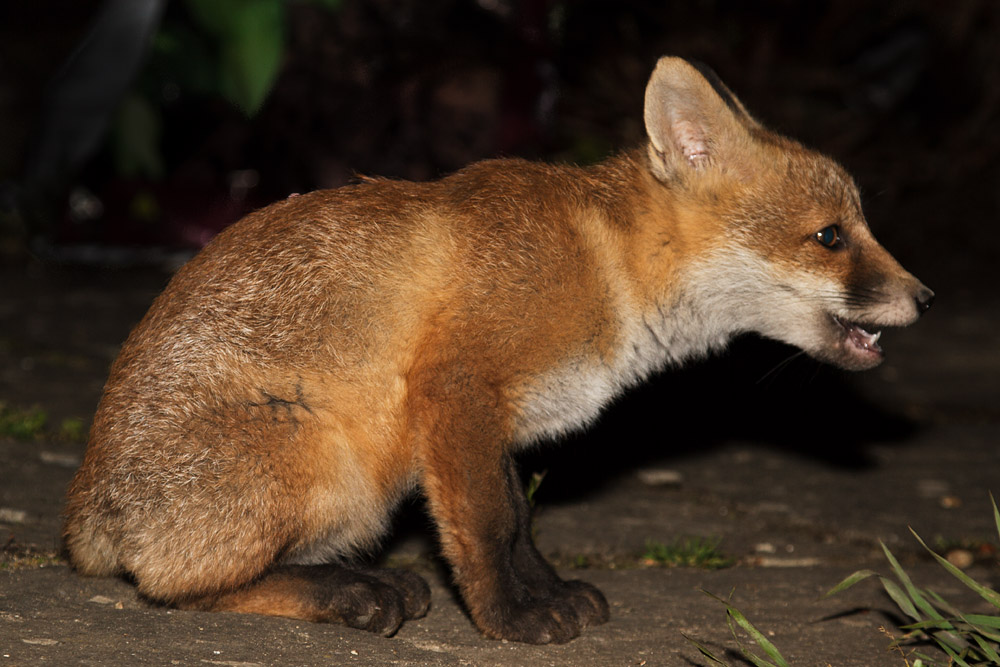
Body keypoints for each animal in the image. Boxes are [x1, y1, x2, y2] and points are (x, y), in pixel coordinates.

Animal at [63, 56, 933, 644]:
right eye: (831, 237)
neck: (606, 269)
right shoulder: (454, 387)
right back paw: (344, 593)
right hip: (330, 467)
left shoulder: (496, 421)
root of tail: (88, 510)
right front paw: (508, 618)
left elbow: (517, 519)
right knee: (174, 585)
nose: (925, 296)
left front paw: (545, 591)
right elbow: (483, 525)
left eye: (857, 227)